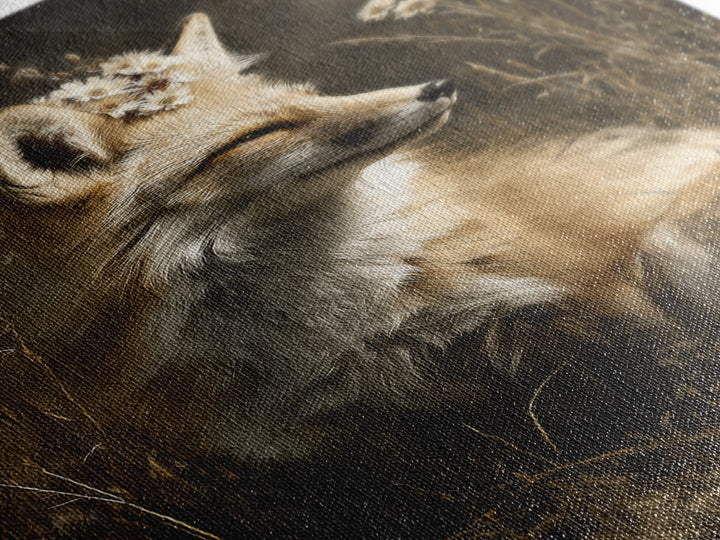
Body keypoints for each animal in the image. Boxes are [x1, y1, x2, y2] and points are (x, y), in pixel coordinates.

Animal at [0, 13, 718, 460]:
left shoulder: (572, 263)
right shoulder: (301, 428)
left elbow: (652, 288)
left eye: (307, 94)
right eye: (261, 133)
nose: (440, 84)